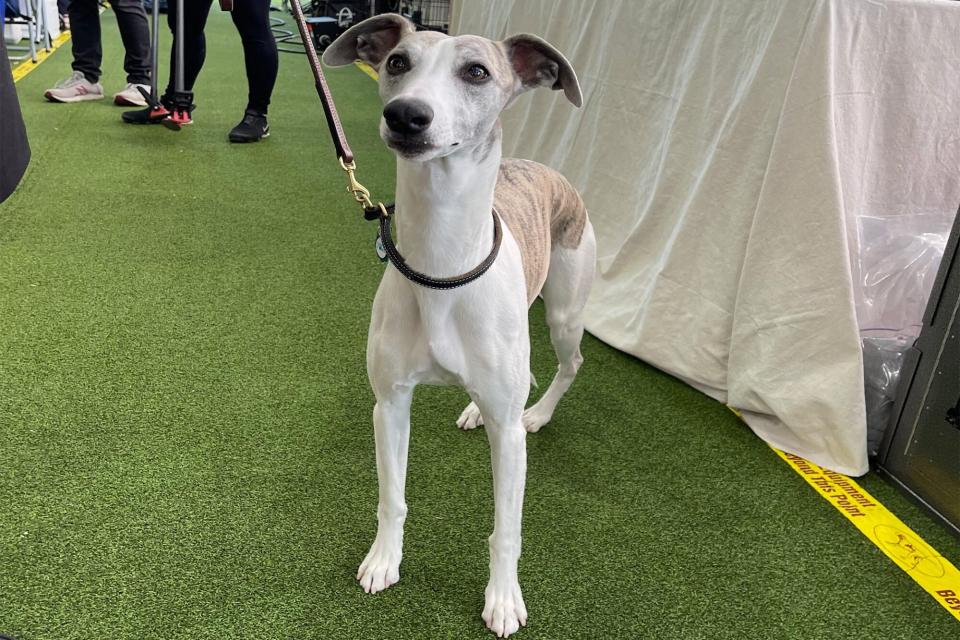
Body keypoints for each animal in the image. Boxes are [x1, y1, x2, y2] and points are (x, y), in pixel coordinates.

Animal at [322, 13, 592, 636]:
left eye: (477, 72)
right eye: (398, 62)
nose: (406, 116)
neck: (442, 265)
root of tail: (548, 168)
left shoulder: (507, 440)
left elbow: (507, 529)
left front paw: (503, 599)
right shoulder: (390, 403)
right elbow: (392, 496)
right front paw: (384, 560)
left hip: (565, 314)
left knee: (569, 364)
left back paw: (540, 413)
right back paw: (475, 408)